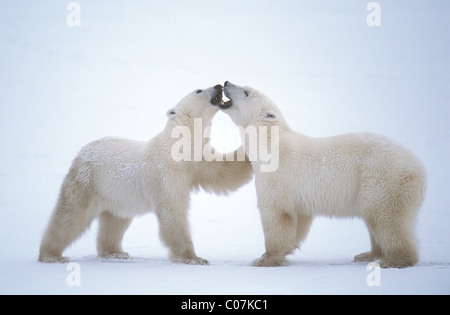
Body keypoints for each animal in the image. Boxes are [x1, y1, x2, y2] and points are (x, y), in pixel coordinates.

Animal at [39, 85, 253, 266]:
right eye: (199, 90)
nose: (218, 85)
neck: (179, 146)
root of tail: (81, 152)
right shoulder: (167, 172)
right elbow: (173, 210)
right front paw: (193, 258)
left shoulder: (198, 160)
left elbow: (223, 173)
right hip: (87, 182)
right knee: (71, 216)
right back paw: (52, 255)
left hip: (117, 195)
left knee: (115, 220)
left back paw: (116, 253)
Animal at [221, 81, 426, 270]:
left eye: (246, 92)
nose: (226, 83)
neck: (270, 145)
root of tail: (420, 168)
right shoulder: (298, 196)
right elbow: (299, 220)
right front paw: (281, 251)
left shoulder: (277, 176)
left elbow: (276, 213)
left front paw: (265, 259)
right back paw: (367, 254)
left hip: (384, 180)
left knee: (385, 218)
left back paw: (392, 260)